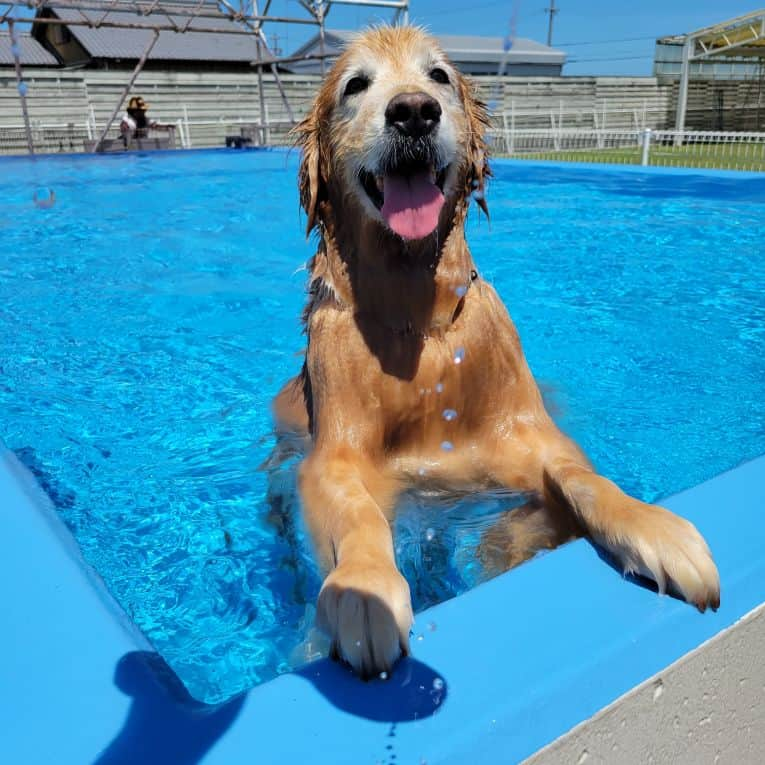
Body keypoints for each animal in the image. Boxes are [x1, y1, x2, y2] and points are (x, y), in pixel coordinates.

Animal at [274, 26, 716, 676]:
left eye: (438, 77)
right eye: (355, 84)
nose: (413, 112)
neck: (416, 325)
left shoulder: (532, 439)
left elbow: (583, 482)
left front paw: (651, 526)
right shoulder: (332, 457)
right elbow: (357, 514)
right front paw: (365, 588)